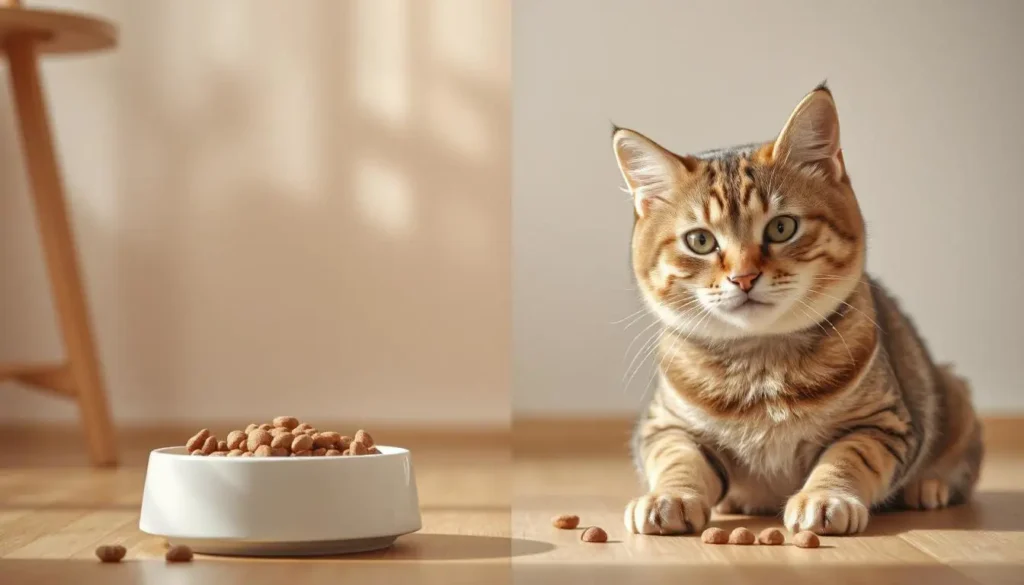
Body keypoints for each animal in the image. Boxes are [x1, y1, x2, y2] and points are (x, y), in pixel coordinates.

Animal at [610, 82, 987, 536]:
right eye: (700, 241)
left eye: (781, 227)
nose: (743, 277)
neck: (762, 367)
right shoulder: (665, 427)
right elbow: (678, 459)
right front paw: (670, 497)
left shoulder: (882, 423)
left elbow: (847, 457)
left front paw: (825, 497)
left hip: (954, 396)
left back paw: (928, 486)